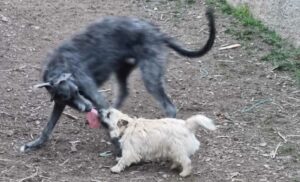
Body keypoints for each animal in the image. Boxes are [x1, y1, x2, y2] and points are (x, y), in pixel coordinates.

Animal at [20, 8, 216, 152]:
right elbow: (48, 127)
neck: (61, 66)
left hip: (150, 76)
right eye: (68, 97)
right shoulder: (61, 103)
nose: (88, 108)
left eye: (76, 91)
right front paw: (35, 144)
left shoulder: (92, 94)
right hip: (122, 70)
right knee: (123, 93)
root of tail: (157, 32)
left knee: (169, 106)